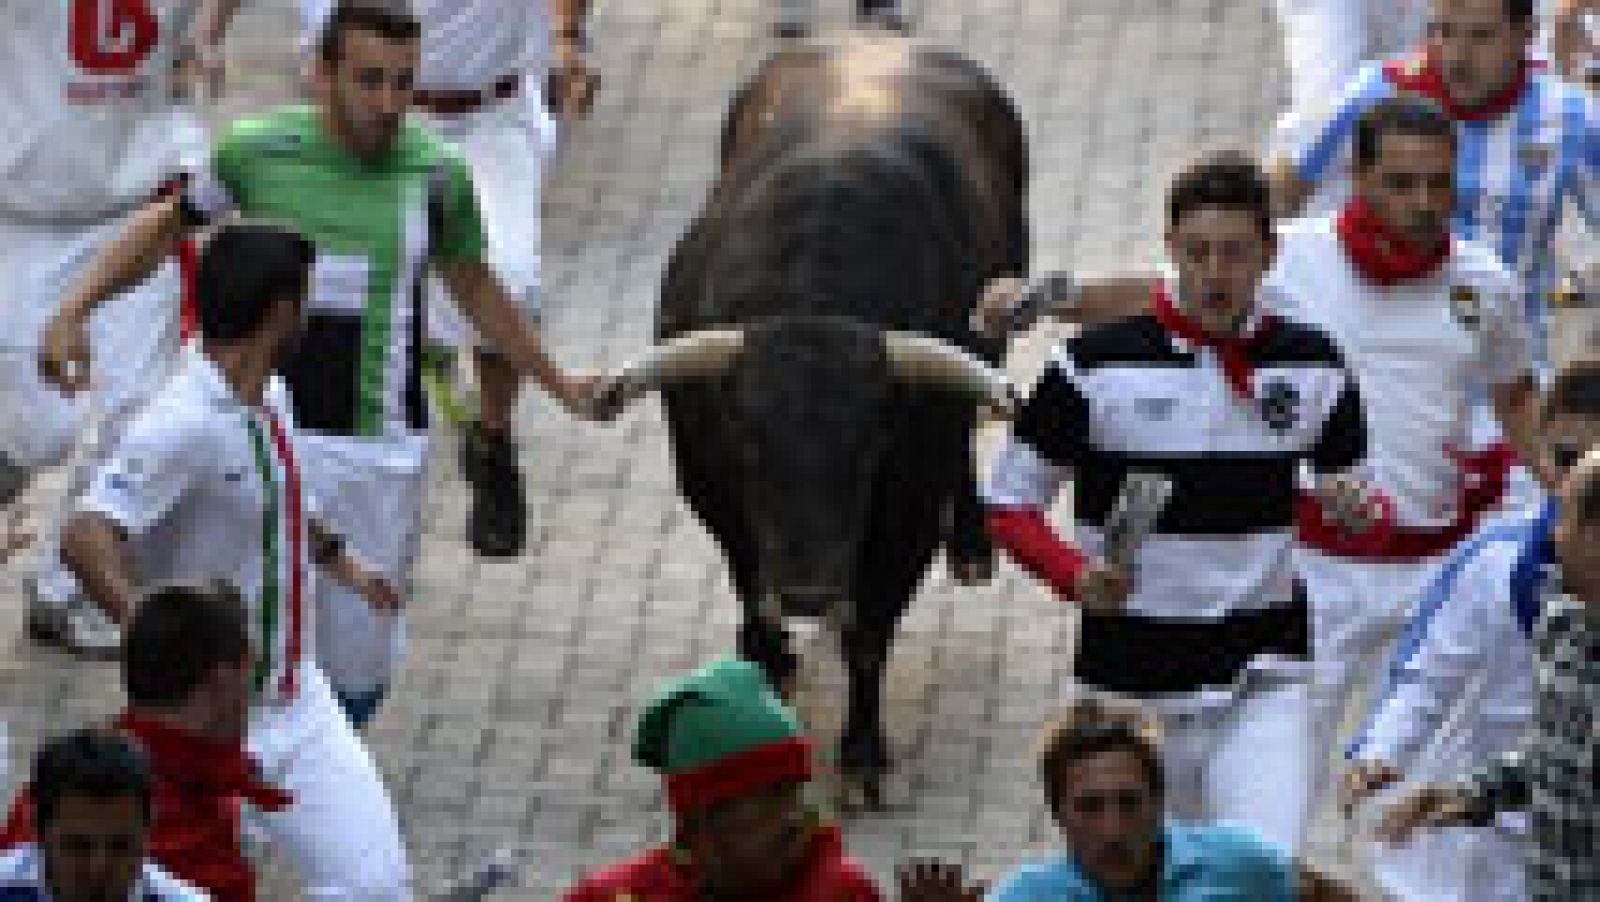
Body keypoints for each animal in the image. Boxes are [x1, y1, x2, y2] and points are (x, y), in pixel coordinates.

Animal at [598, 31, 1024, 799]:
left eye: (871, 445)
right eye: (748, 441)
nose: (805, 590)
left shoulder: (907, 509)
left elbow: (870, 633)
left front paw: (862, 753)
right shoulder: (713, 489)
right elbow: (748, 586)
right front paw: (771, 668)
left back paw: (973, 543)